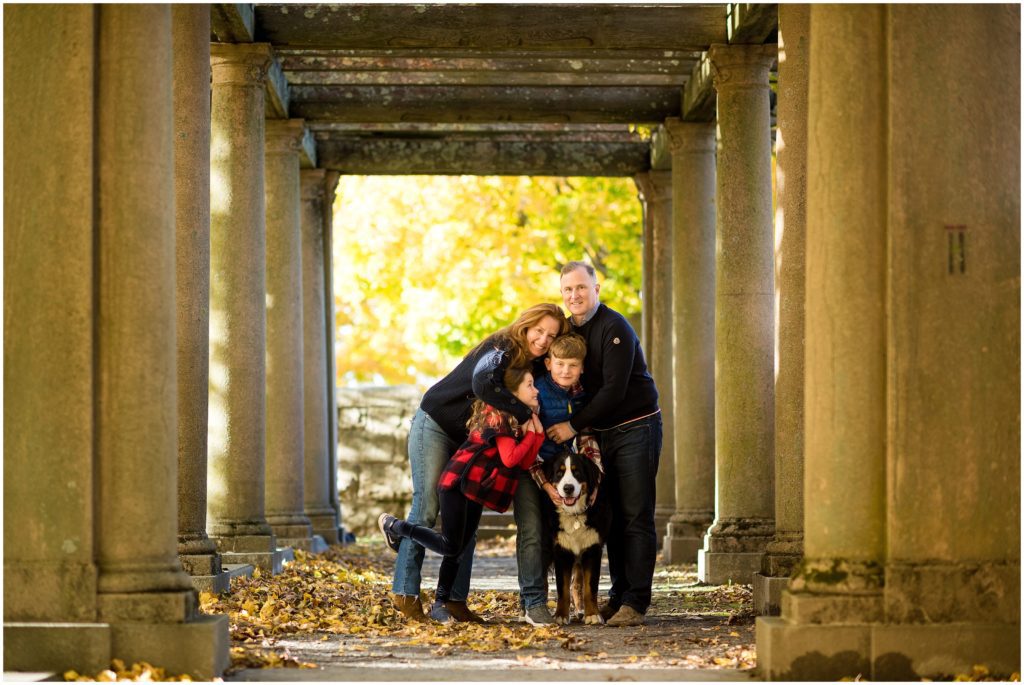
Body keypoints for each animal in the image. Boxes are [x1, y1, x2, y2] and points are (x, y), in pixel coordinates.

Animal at [540, 448, 610, 626]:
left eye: (577, 472)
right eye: (559, 473)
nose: (568, 488)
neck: (575, 515)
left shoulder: (592, 549)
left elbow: (590, 587)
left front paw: (593, 614)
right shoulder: (561, 551)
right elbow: (562, 588)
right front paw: (560, 615)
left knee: (577, 584)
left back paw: (580, 611)